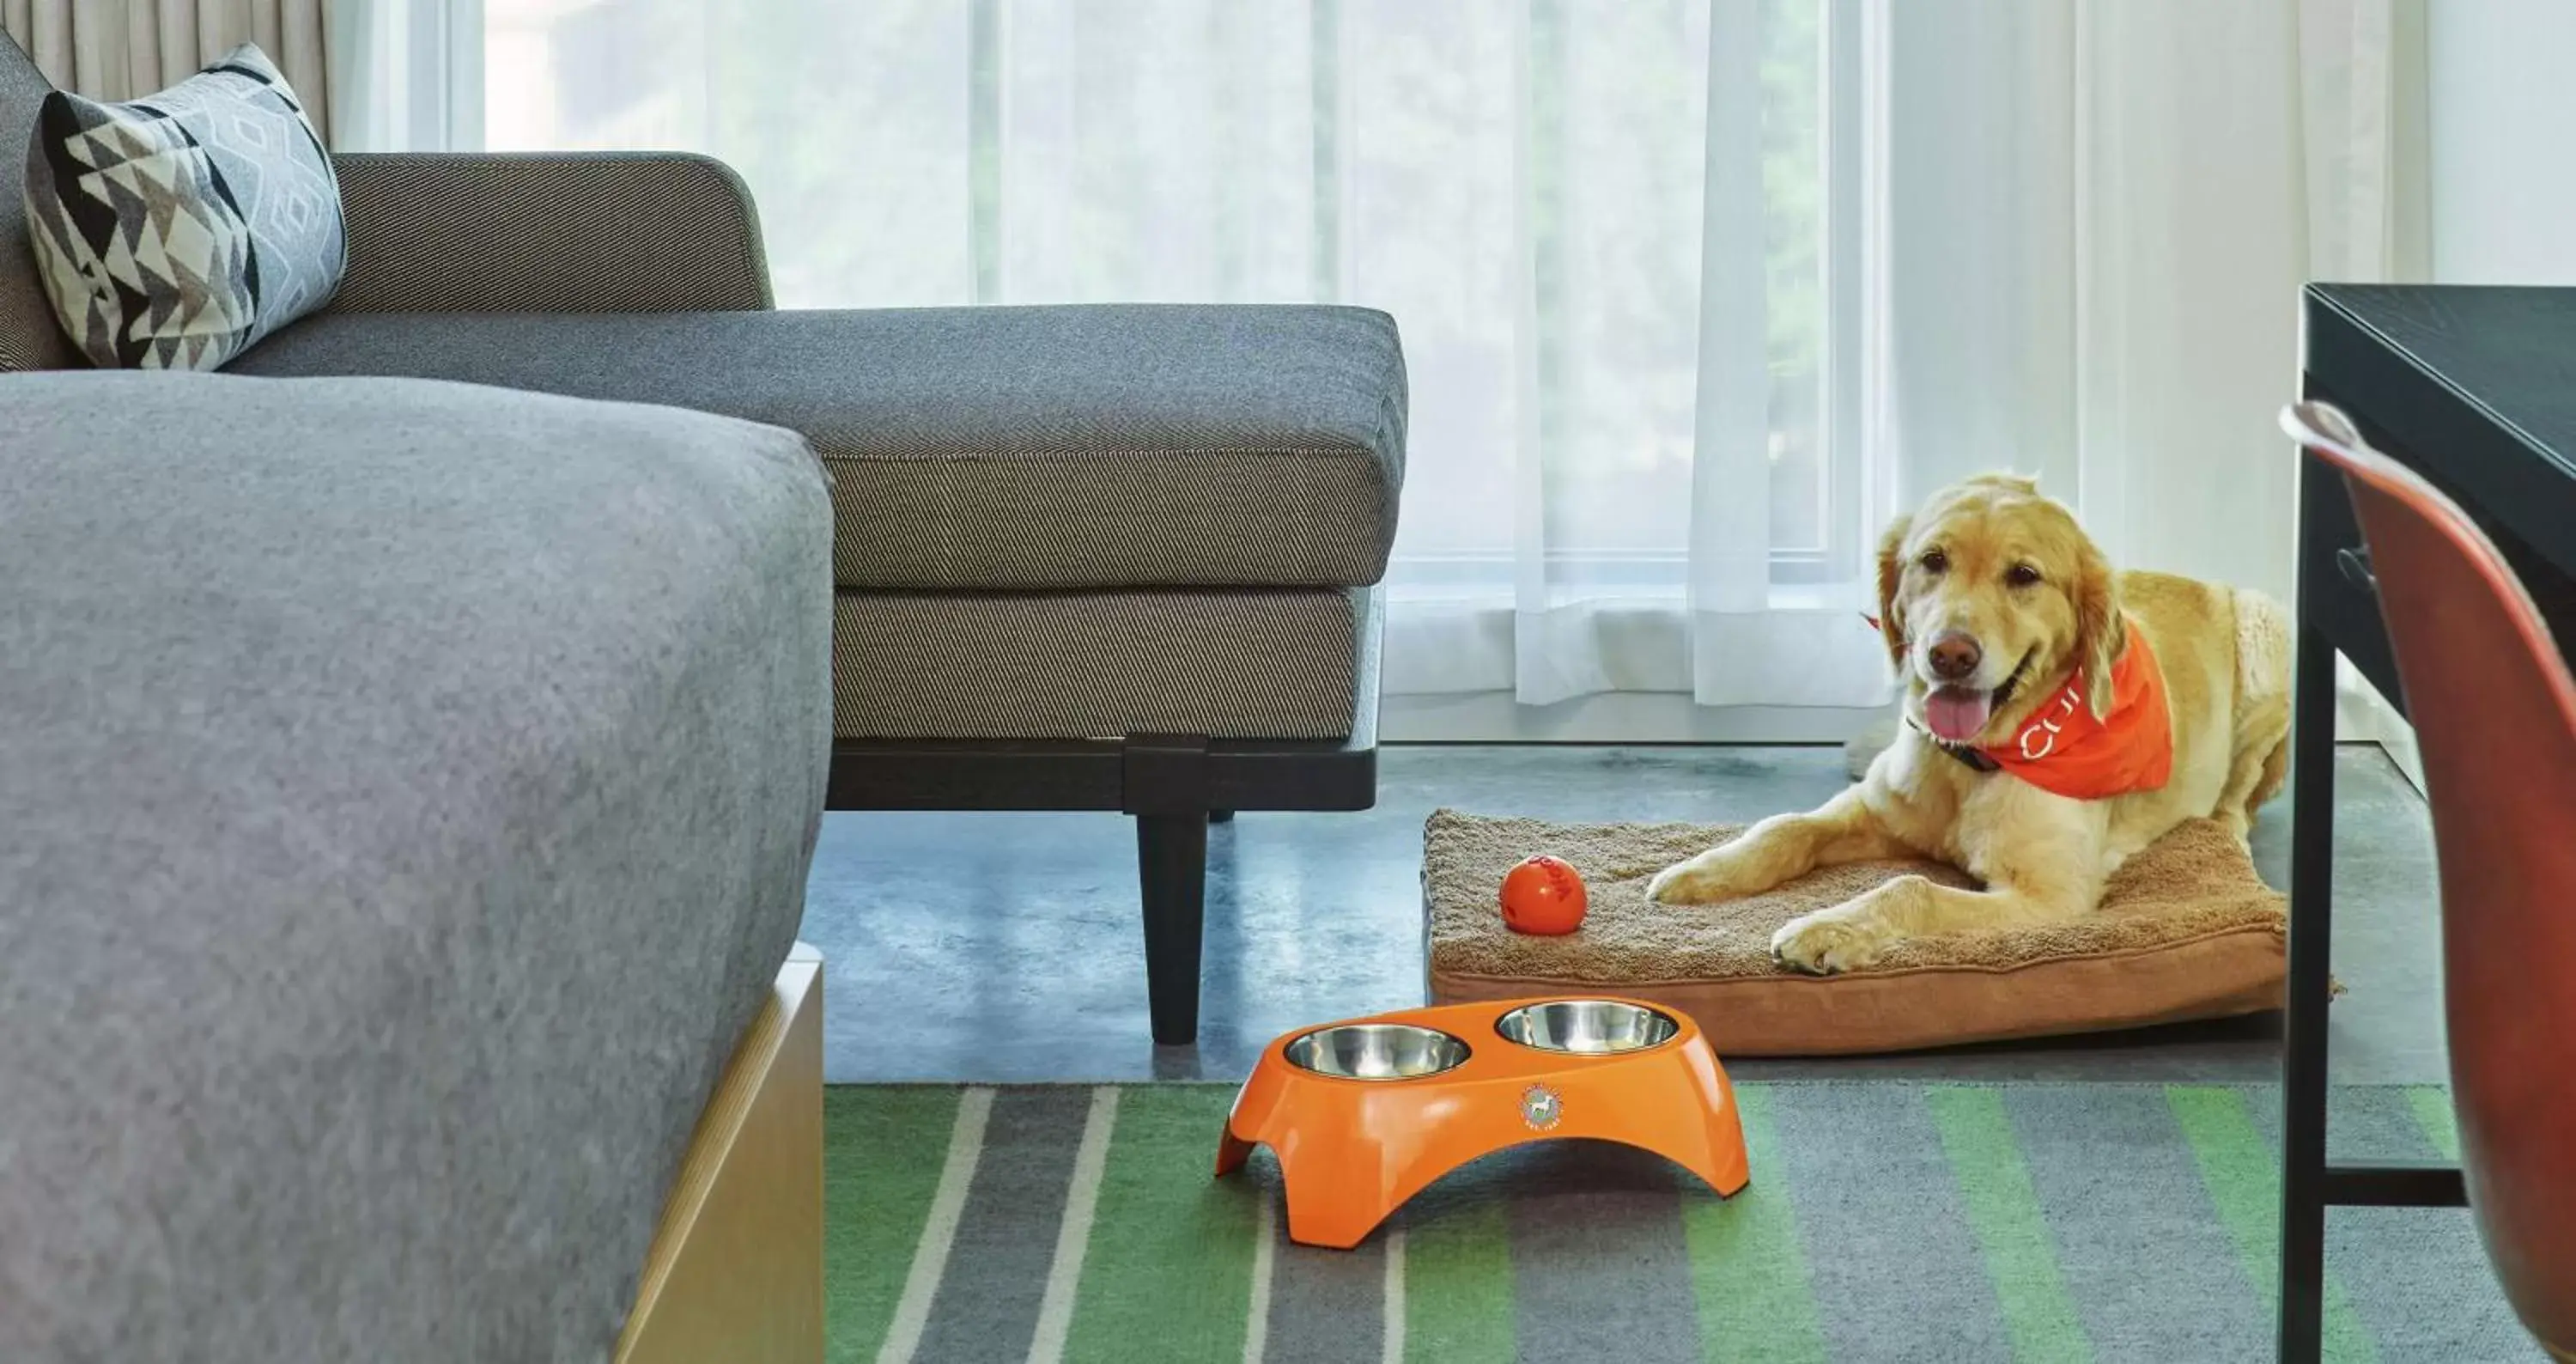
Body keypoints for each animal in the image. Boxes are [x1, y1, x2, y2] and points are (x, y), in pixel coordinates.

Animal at [1638, 474, 2287, 974]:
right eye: (1933, 561)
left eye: (2024, 575)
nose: (1950, 654)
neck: (1975, 759)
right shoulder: (1876, 807)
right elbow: (1786, 826)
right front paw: (1706, 869)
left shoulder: (2052, 896)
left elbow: (1912, 887)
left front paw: (1829, 928)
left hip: (2265, 627)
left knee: (2241, 795)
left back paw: (2224, 830)